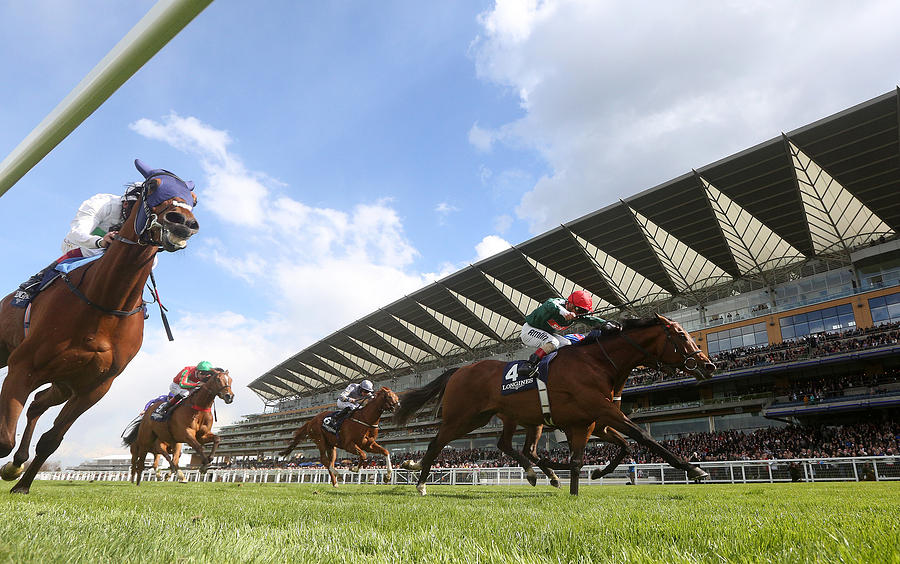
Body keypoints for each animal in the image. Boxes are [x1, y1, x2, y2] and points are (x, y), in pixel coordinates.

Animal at [0, 160, 199, 494]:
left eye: (193, 200)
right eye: (153, 186)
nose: (182, 221)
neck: (104, 305)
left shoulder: (94, 388)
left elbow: (51, 441)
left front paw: (21, 484)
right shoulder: (22, 366)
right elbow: (4, 439)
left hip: (62, 384)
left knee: (38, 404)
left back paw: (17, 465)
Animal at [398, 316, 712, 496]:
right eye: (681, 336)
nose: (708, 365)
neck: (598, 362)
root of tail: (459, 369)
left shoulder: (596, 420)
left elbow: (623, 445)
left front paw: (595, 473)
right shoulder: (603, 413)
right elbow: (643, 436)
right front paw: (694, 469)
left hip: (516, 417)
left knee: (511, 446)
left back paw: (539, 474)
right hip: (464, 417)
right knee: (436, 443)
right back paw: (420, 480)